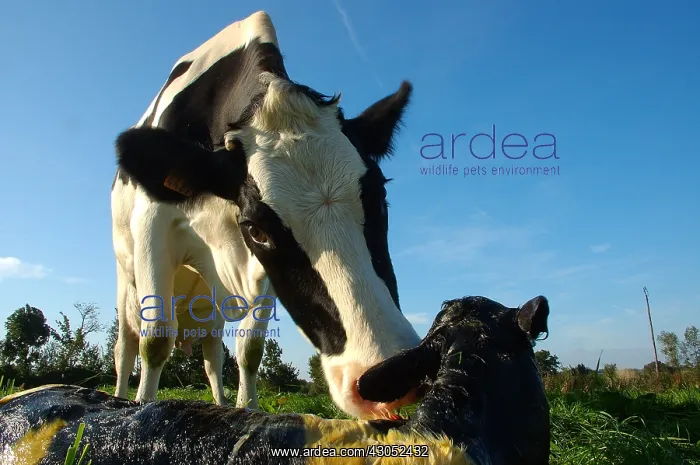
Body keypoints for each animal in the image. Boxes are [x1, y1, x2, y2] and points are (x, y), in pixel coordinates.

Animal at [110, 10, 420, 419]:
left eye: (380, 198)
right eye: (257, 229)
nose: (389, 373)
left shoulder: (262, 277)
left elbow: (250, 350)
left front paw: (248, 410)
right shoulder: (152, 226)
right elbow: (156, 338)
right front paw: (143, 408)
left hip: (208, 306)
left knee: (212, 356)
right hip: (125, 278)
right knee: (126, 347)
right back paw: (118, 397)